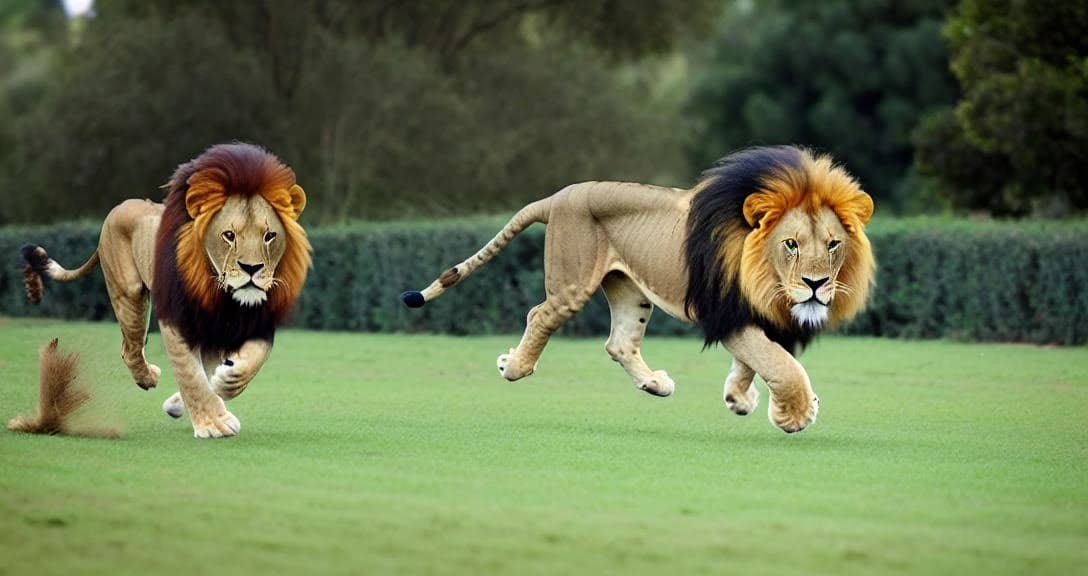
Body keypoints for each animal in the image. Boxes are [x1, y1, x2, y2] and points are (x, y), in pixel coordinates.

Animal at [21, 143, 311, 438]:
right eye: (229, 236)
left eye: (270, 235)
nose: (252, 268)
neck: (222, 295)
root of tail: (122, 206)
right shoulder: (177, 322)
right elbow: (191, 375)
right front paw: (213, 424)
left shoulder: (255, 324)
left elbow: (251, 362)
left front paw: (224, 382)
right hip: (130, 296)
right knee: (131, 348)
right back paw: (149, 378)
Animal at [402, 146, 874, 433]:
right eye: (791, 244)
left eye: (833, 244)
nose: (815, 286)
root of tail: (558, 195)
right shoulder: (725, 312)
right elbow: (779, 363)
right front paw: (797, 413)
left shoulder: (750, 314)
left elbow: (758, 360)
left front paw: (740, 399)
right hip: (573, 280)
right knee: (541, 315)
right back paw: (513, 365)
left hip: (631, 290)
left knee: (619, 342)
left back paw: (654, 384)